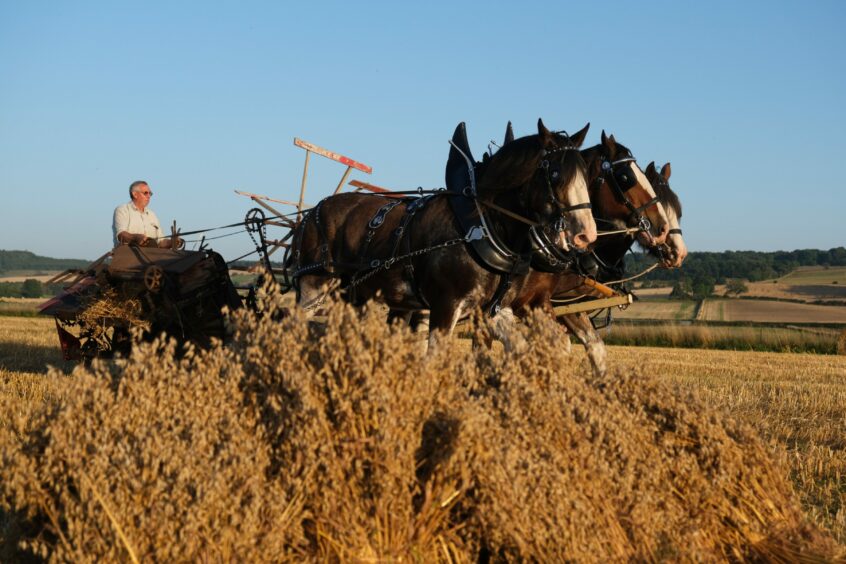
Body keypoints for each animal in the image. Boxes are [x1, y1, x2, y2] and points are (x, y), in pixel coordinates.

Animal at [288, 120, 600, 348]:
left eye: (586, 176)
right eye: (555, 175)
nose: (587, 235)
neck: (480, 225)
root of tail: (312, 212)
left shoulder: (494, 309)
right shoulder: (445, 306)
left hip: (355, 297)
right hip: (313, 288)